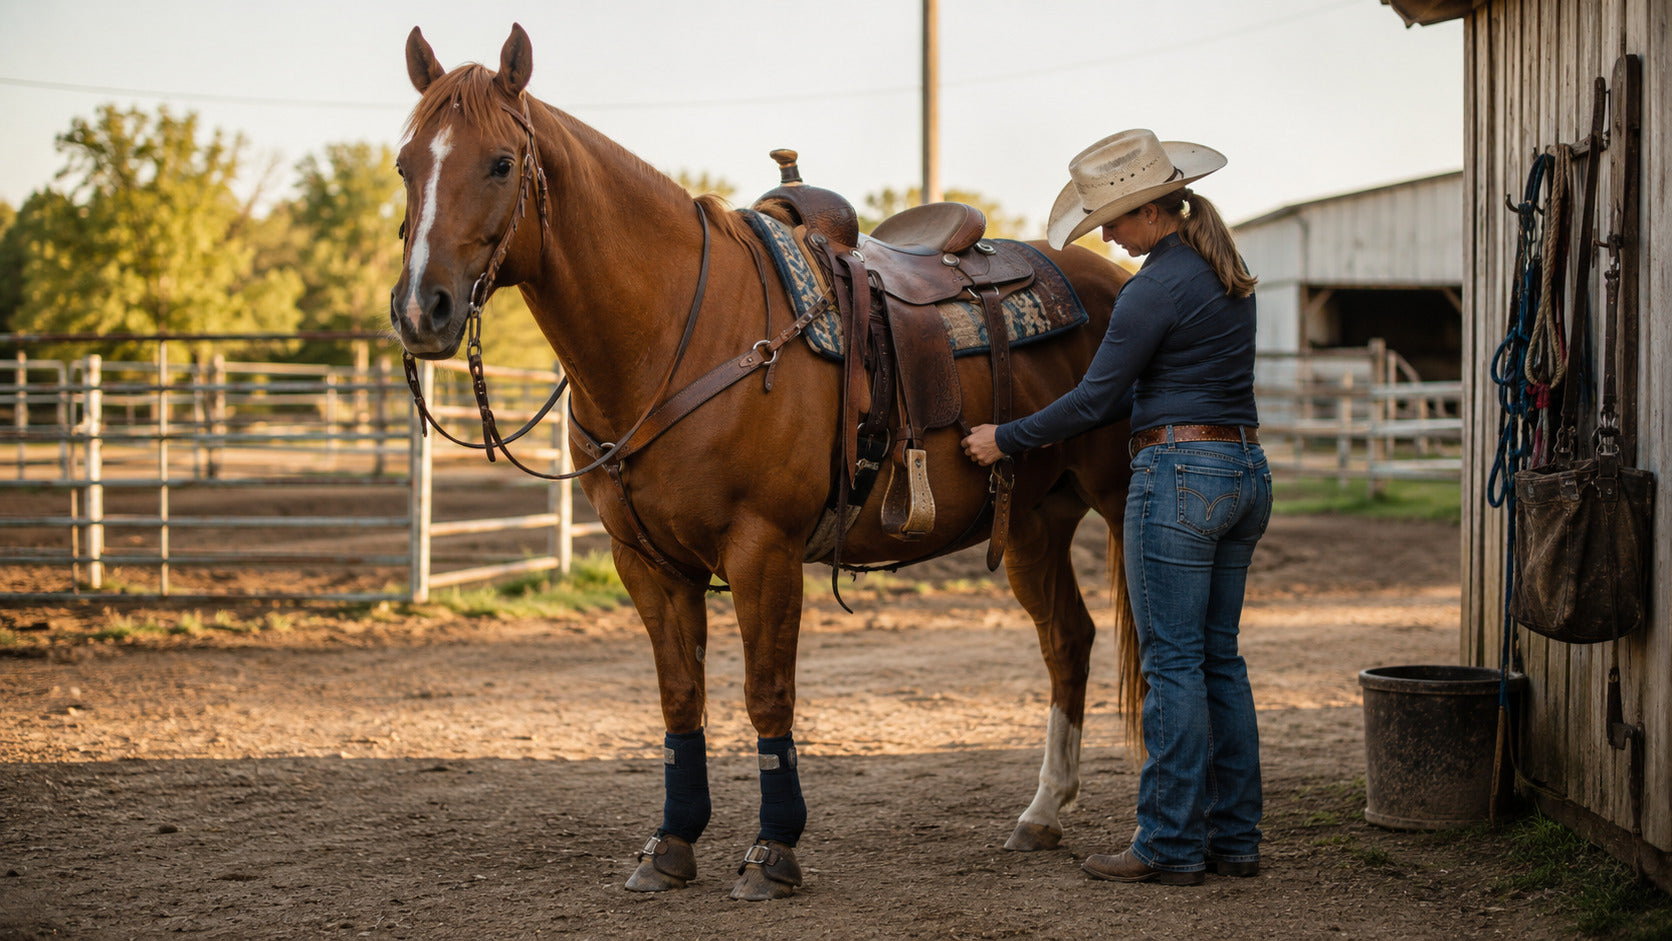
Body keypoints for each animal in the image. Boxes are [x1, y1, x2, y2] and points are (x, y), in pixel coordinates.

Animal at [390, 23, 1140, 901]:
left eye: (502, 163)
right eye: (406, 164)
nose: (422, 309)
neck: (677, 329)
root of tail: (1108, 278)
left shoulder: (763, 549)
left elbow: (766, 695)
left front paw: (774, 848)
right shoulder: (645, 560)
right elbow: (680, 698)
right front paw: (670, 842)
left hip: (1124, 499)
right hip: (1031, 519)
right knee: (1068, 639)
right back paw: (1043, 812)